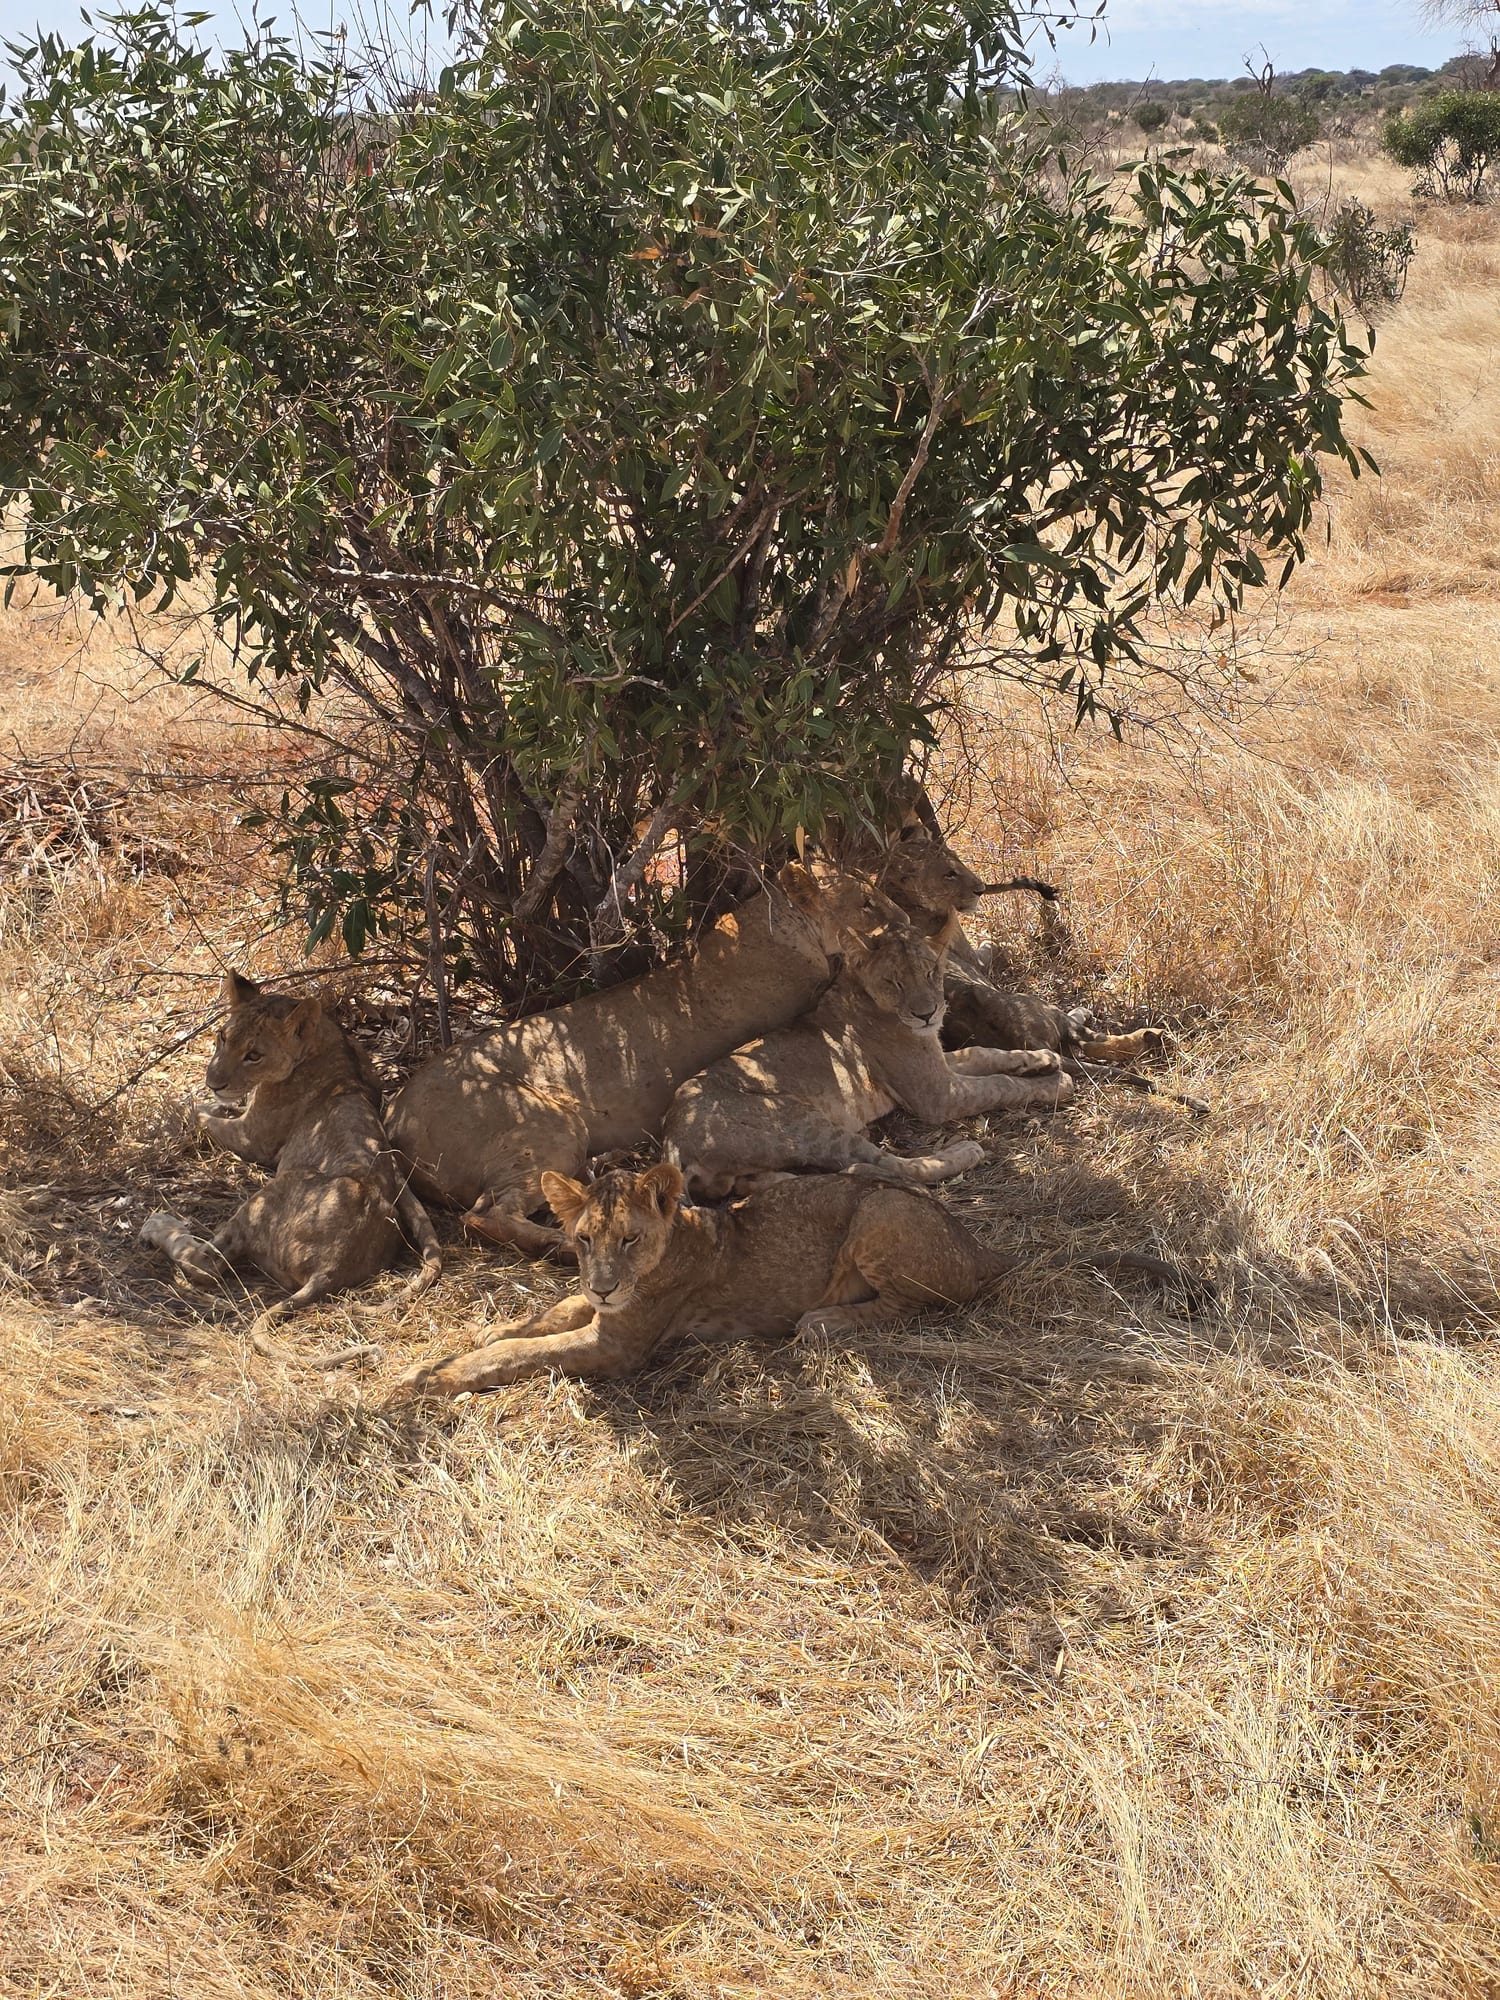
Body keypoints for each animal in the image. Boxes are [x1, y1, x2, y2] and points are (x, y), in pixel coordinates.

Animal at [140, 973, 441, 1339]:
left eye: (254, 1055)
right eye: (222, 1037)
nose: (213, 1082)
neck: (327, 1041)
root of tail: (331, 1267)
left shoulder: (252, 1138)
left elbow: (196, 1114)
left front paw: (166, 1113)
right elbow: (211, 1109)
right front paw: (210, 1101)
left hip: (269, 1193)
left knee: (207, 1265)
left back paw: (158, 1224)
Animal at [385, 862, 902, 1257]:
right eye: (867, 902)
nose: (904, 918)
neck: (769, 923)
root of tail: (392, 1116)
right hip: (548, 1125)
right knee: (483, 1215)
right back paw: (564, 1245)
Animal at [392, 1163, 1200, 1396]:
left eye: (631, 1239)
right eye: (584, 1239)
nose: (606, 1284)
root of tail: (980, 1246)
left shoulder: (620, 1346)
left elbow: (526, 1352)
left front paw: (438, 1376)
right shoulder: (595, 1312)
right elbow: (536, 1320)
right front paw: (461, 1343)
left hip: (878, 1210)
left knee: (916, 1308)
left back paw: (827, 1321)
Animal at [661, 920, 1069, 1199]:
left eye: (930, 972)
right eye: (893, 982)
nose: (928, 1014)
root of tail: (672, 1140)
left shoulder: (936, 1066)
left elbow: (983, 1053)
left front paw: (1041, 1058)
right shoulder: (936, 1096)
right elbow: (1000, 1085)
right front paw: (1055, 1081)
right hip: (801, 1121)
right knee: (892, 1165)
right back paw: (963, 1151)